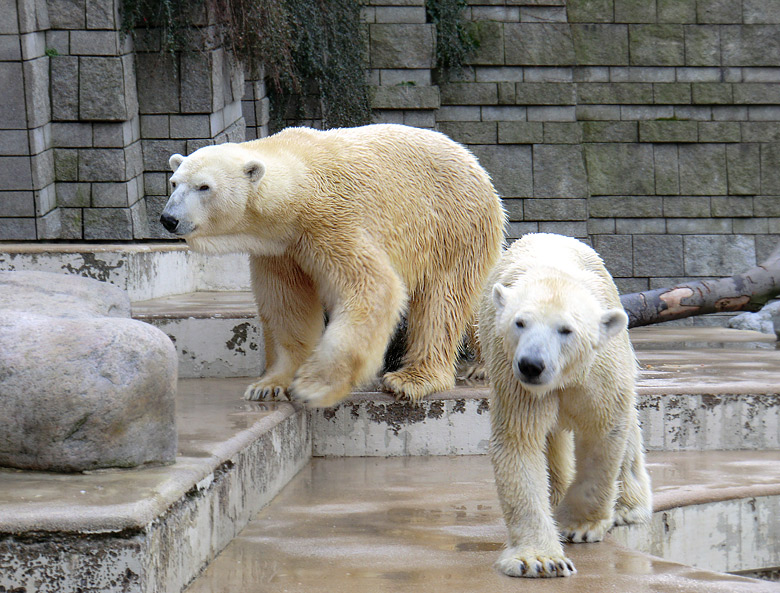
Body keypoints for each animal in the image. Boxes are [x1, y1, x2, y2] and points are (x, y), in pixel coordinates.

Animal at [163, 123, 506, 408]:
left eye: (204, 187)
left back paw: (413, 378)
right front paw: (268, 385)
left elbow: (373, 287)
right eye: (174, 182)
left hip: (452, 224)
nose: (169, 218)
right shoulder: (280, 250)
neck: (298, 183)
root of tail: (476, 164)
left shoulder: (332, 222)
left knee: (442, 300)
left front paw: (315, 385)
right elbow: (288, 307)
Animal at [476, 234, 652, 576]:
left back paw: (629, 507)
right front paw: (540, 560)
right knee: (552, 439)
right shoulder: (514, 381)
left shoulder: (599, 371)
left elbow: (603, 434)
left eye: (566, 329)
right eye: (520, 322)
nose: (532, 364)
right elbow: (520, 442)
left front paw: (579, 526)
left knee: (629, 429)